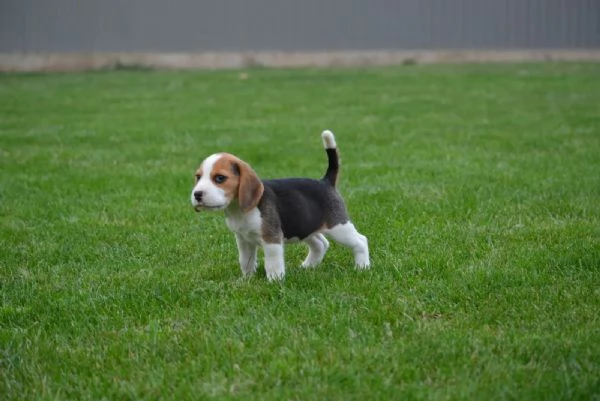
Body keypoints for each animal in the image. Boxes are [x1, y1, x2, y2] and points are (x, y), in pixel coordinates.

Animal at [192, 130, 368, 280]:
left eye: (220, 178)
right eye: (198, 177)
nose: (197, 194)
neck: (238, 210)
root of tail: (325, 182)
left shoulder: (271, 239)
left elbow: (272, 262)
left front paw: (275, 281)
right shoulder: (243, 240)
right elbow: (245, 261)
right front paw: (246, 280)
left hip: (339, 227)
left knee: (361, 241)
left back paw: (362, 267)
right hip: (305, 226)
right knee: (321, 244)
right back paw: (307, 267)